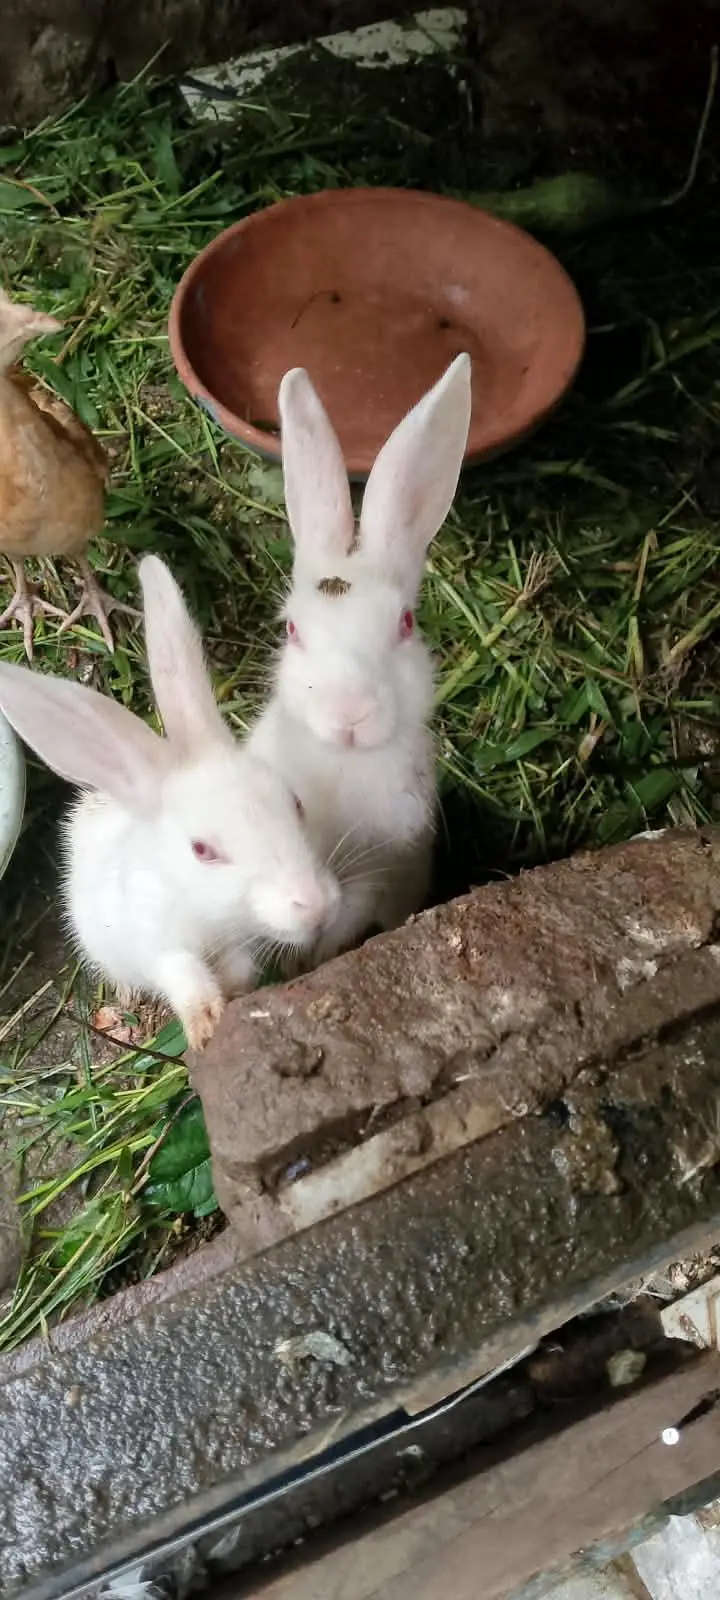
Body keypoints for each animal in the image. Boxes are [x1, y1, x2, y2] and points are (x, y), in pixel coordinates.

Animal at [0, 555, 341, 1050]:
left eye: (294, 803)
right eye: (201, 850)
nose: (315, 905)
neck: (207, 911)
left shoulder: (237, 943)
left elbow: (238, 968)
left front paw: (236, 995)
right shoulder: (158, 942)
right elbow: (184, 976)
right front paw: (205, 1026)